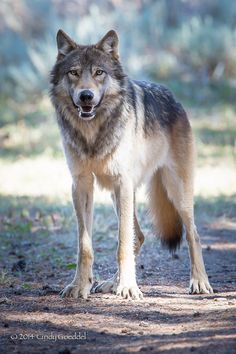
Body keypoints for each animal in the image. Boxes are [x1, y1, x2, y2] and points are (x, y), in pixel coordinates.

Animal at [48, 29, 213, 298]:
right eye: (73, 72)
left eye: (99, 72)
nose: (86, 96)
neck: (93, 134)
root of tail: (173, 98)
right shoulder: (81, 184)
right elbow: (85, 245)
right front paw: (80, 285)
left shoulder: (123, 183)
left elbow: (122, 242)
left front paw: (128, 287)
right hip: (119, 195)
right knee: (141, 236)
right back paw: (111, 283)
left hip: (176, 192)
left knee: (193, 235)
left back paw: (199, 282)